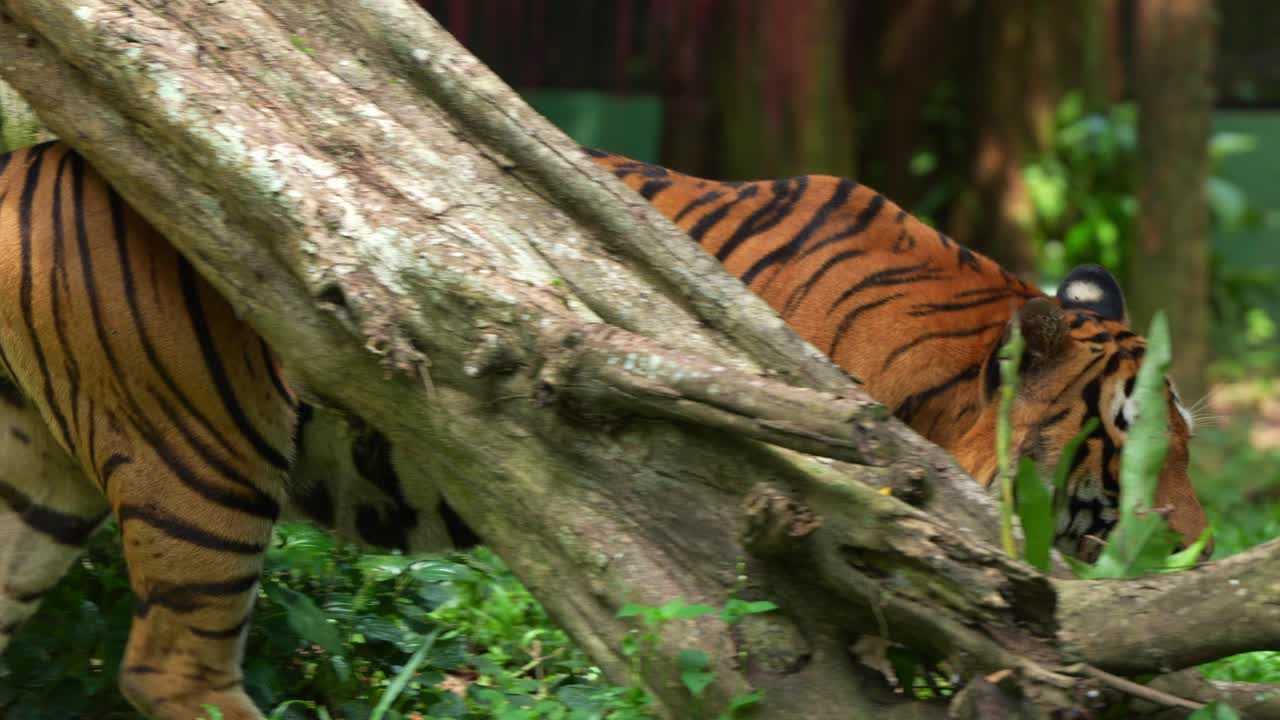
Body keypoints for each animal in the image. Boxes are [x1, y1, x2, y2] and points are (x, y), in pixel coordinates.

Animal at [0, 140, 1209, 719]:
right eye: (1128, 440)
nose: (1198, 542)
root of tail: (27, 165)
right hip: (200, 460)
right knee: (170, 667)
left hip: (34, 484)